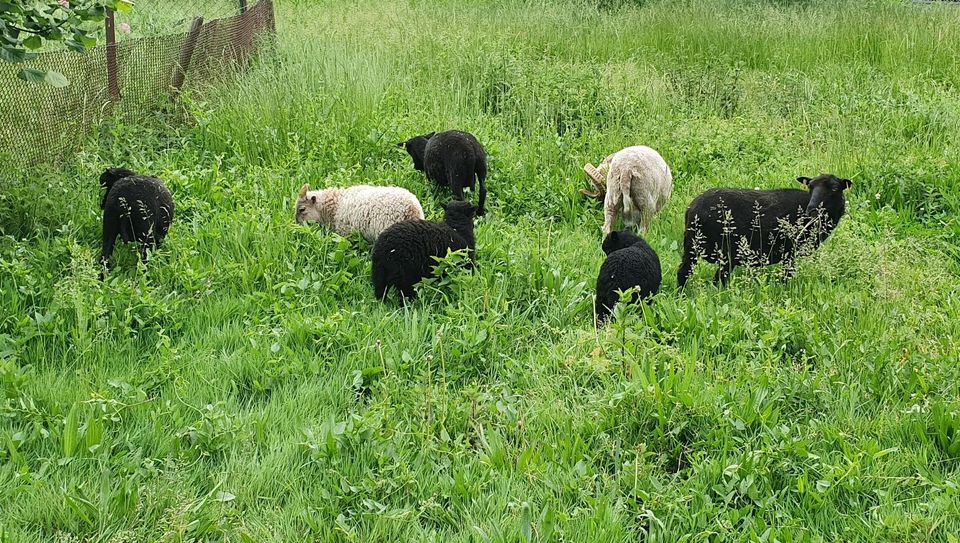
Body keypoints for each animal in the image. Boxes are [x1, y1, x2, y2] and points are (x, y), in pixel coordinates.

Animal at [680, 173, 852, 288]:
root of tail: (691, 208)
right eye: (810, 187)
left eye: (835, 188)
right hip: (706, 248)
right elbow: (786, 277)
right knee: (685, 273)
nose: (812, 210)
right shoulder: (788, 252)